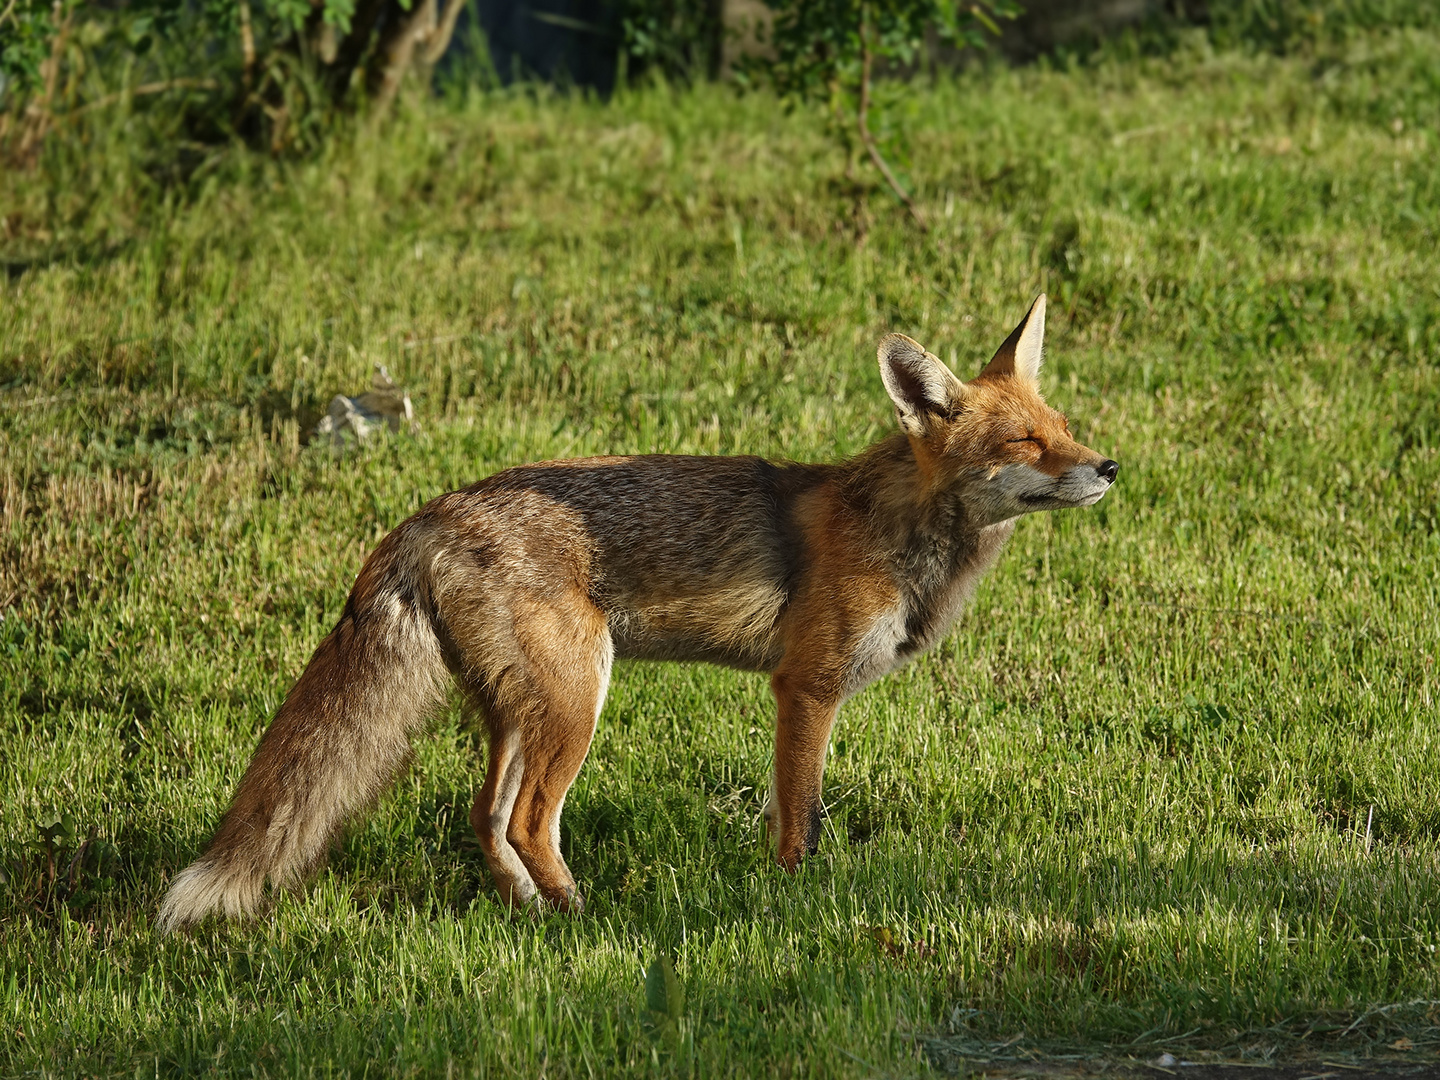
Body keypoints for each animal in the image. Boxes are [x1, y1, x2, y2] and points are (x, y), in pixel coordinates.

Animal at [163, 293, 1117, 933]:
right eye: (1025, 443)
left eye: (1064, 425)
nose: (1108, 466)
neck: (898, 531)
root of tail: (426, 515)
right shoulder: (805, 688)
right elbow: (802, 820)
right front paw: (798, 909)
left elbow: (786, 811)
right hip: (577, 700)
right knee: (525, 819)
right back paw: (581, 915)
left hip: (522, 711)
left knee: (486, 817)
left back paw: (532, 914)